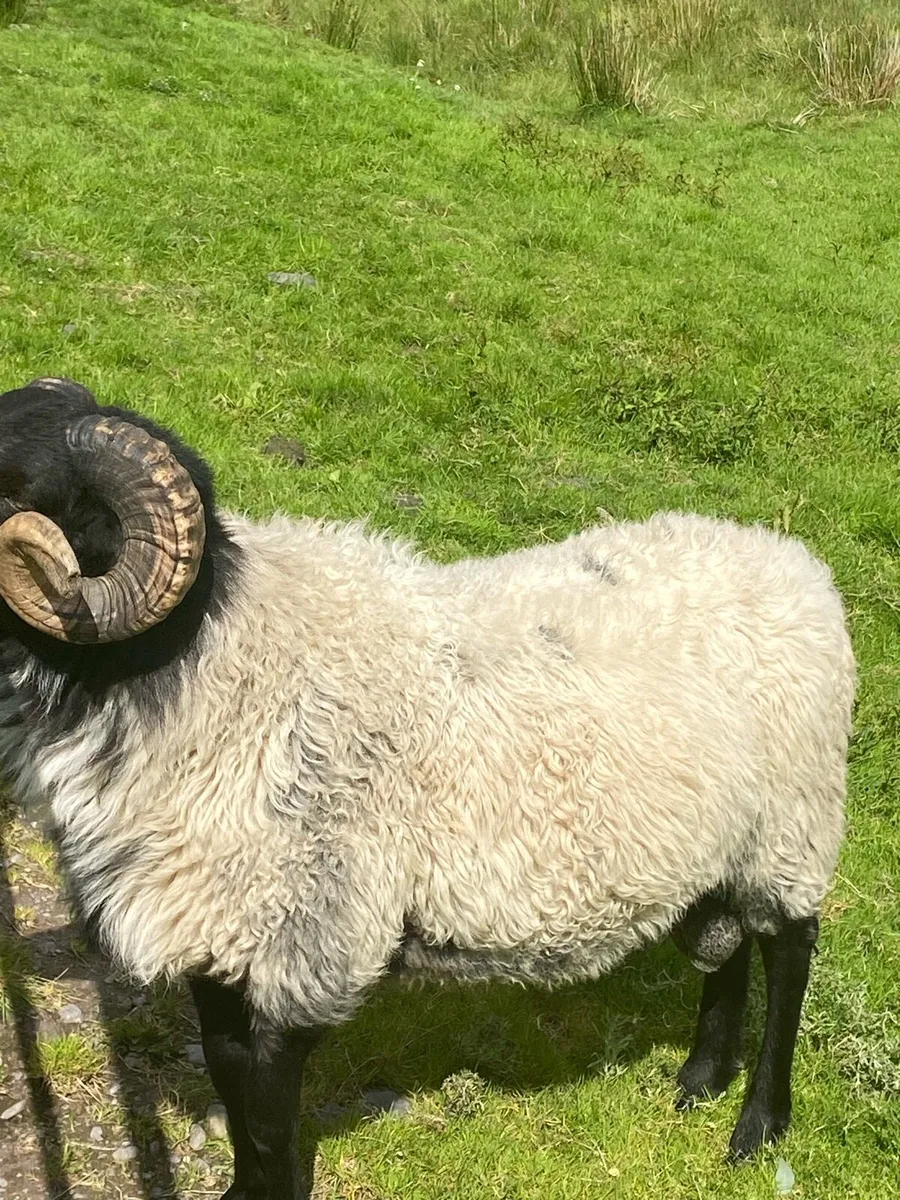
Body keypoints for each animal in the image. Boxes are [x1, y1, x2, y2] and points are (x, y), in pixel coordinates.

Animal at [0, 377, 854, 1199]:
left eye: (18, 486)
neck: (206, 666)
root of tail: (798, 564)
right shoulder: (220, 938)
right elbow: (229, 1079)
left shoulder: (304, 943)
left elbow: (266, 1112)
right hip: (719, 840)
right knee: (727, 942)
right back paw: (702, 1078)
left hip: (792, 822)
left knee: (788, 952)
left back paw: (758, 1125)